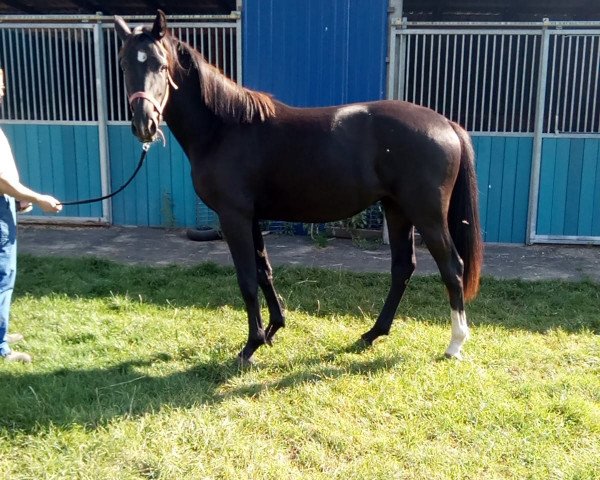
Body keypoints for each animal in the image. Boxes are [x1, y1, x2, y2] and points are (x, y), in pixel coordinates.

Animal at [116, 10, 482, 364]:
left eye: (161, 65)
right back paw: (372, 334)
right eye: (124, 64)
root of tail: (446, 124)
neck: (224, 128)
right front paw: (272, 331)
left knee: (453, 268)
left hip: (427, 215)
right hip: (397, 210)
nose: (144, 123)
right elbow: (264, 271)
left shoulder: (233, 216)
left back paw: (454, 344)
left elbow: (246, 279)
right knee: (403, 267)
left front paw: (250, 347)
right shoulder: (251, 217)